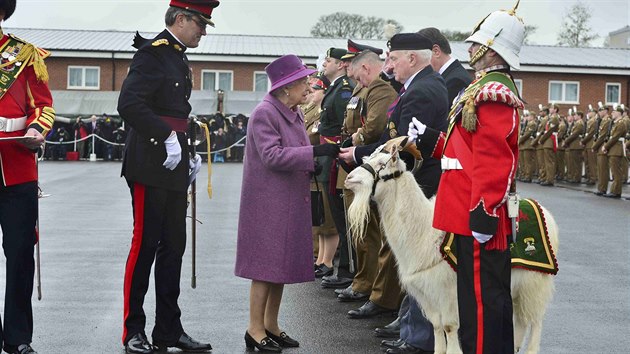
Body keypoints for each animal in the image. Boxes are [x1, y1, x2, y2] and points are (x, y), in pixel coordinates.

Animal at [348, 141, 560, 354]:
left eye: (382, 164)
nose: (349, 178)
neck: (426, 231)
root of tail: (543, 210)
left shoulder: (448, 293)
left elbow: (449, 327)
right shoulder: (428, 293)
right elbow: (436, 326)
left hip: (534, 282)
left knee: (535, 321)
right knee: (520, 321)